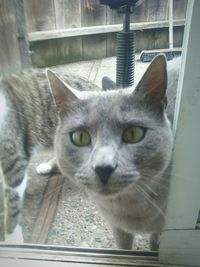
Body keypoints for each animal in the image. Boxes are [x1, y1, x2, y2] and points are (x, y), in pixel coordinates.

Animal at [0, 55, 180, 250]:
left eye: (134, 134)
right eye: (80, 137)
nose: (103, 168)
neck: (128, 208)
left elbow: (155, 243)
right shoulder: (117, 228)